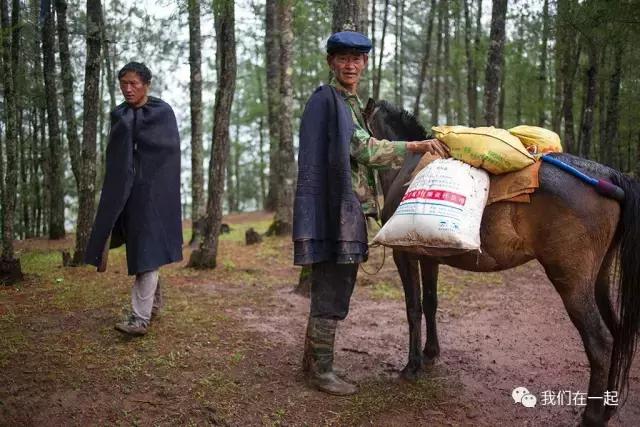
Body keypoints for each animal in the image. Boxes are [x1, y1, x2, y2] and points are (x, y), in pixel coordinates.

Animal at [364, 98, 640, 426]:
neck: (407, 166)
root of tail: (610, 177)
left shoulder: (403, 254)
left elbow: (413, 308)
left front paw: (412, 366)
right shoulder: (428, 255)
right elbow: (430, 303)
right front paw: (431, 353)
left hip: (572, 283)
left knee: (600, 342)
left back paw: (592, 416)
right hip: (599, 277)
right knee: (618, 333)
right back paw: (608, 407)